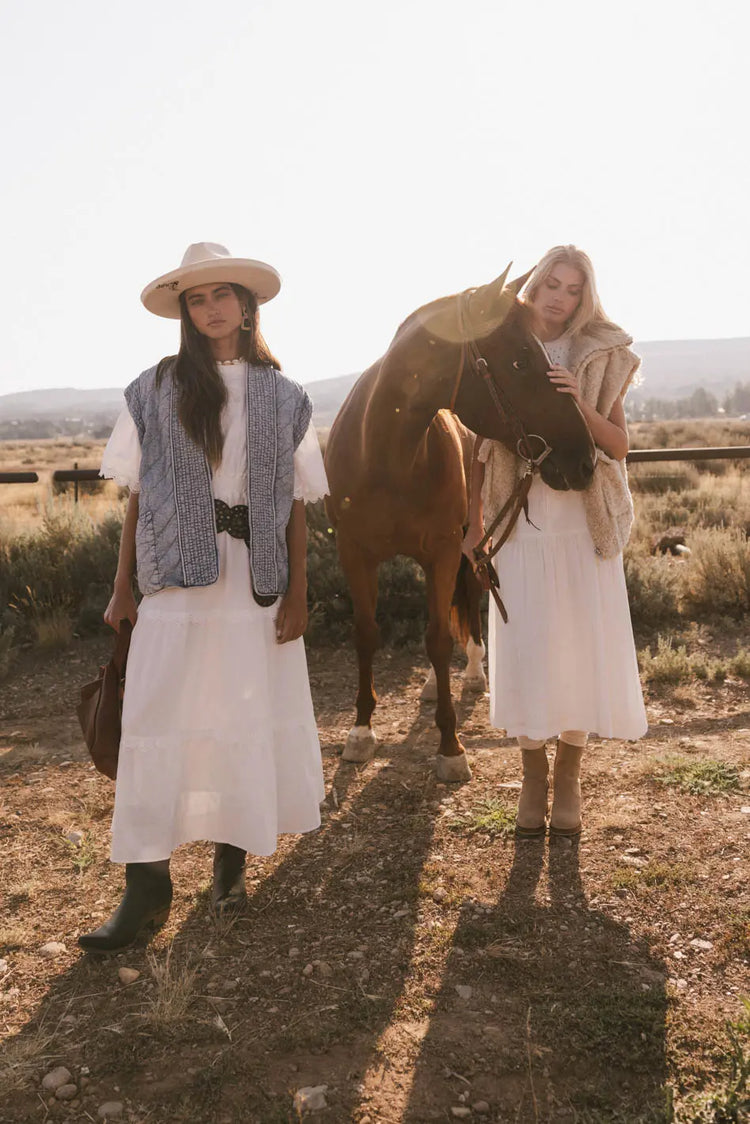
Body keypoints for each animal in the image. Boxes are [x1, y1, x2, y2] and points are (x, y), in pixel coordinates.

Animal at [326, 267, 593, 782]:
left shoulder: (445, 549)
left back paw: (470, 672)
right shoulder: (354, 552)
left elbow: (438, 637)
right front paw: (361, 731)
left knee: (465, 599)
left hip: (465, 544)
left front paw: (450, 747)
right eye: (520, 361)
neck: (387, 454)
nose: (585, 458)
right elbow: (366, 633)